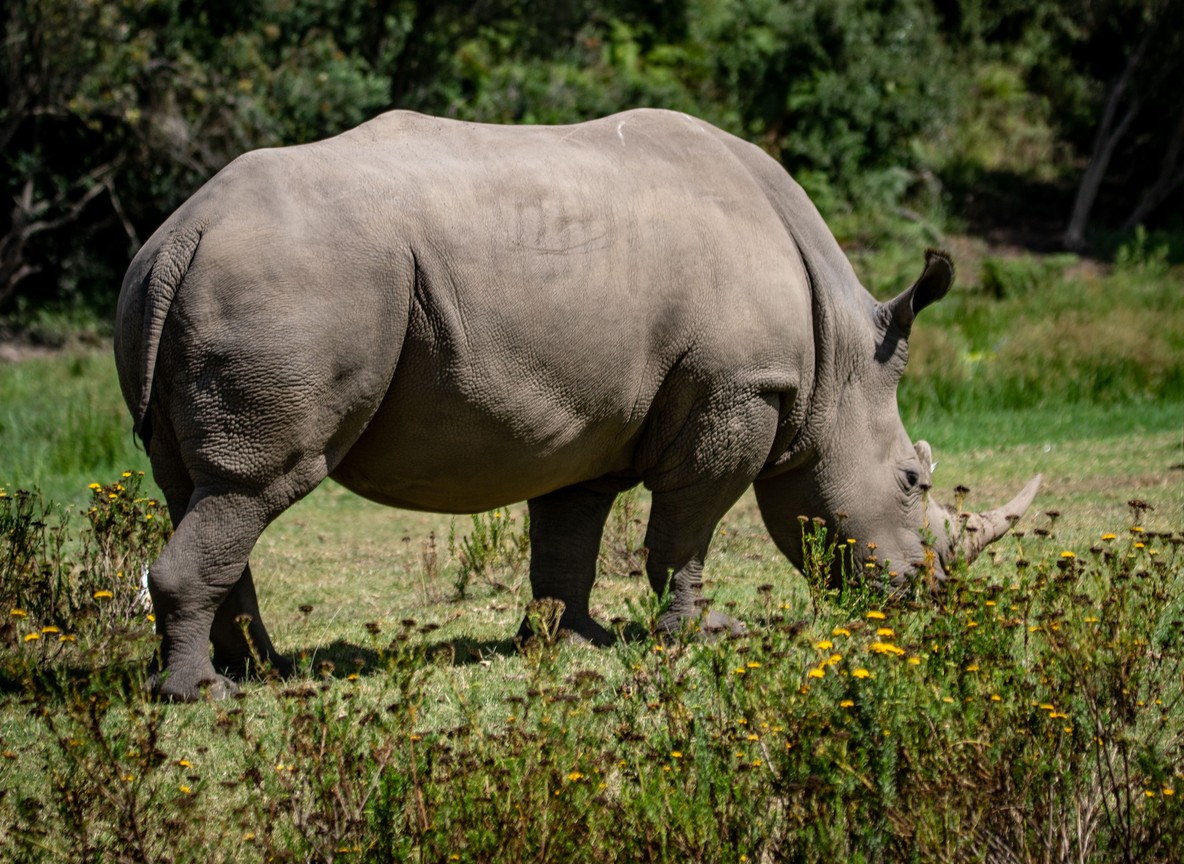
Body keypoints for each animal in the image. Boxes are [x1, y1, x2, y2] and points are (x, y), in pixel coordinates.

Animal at [115, 108, 1039, 700]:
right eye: (915, 484)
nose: (927, 595)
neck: (838, 361)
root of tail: (182, 233)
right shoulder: (741, 389)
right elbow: (686, 530)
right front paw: (704, 637)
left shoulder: (587, 417)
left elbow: (568, 536)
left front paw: (568, 641)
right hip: (298, 285)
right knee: (258, 484)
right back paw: (206, 696)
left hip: (177, 286)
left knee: (201, 488)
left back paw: (268, 674)